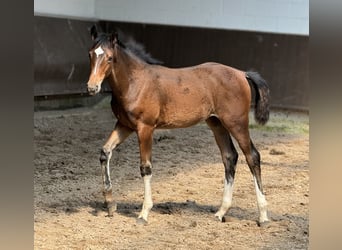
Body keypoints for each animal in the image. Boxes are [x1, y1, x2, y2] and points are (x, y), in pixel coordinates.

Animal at [87, 25, 272, 227]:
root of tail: (242, 73)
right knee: (230, 156)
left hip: (236, 123)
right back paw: (220, 212)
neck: (135, 82)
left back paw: (263, 216)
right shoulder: (124, 125)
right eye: (90, 54)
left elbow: (145, 167)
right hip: (217, 124)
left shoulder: (145, 128)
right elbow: (105, 152)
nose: (92, 88)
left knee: (252, 156)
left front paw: (144, 213)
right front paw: (110, 204)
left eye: (109, 58)